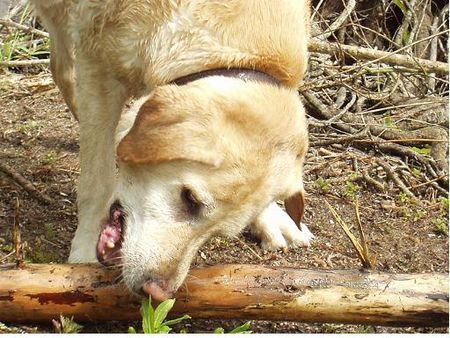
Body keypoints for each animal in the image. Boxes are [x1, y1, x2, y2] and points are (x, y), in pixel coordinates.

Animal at [31, 0, 312, 302]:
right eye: (190, 198)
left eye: (219, 233)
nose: (157, 293)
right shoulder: (97, 66)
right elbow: (97, 181)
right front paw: (84, 251)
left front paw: (272, 216)